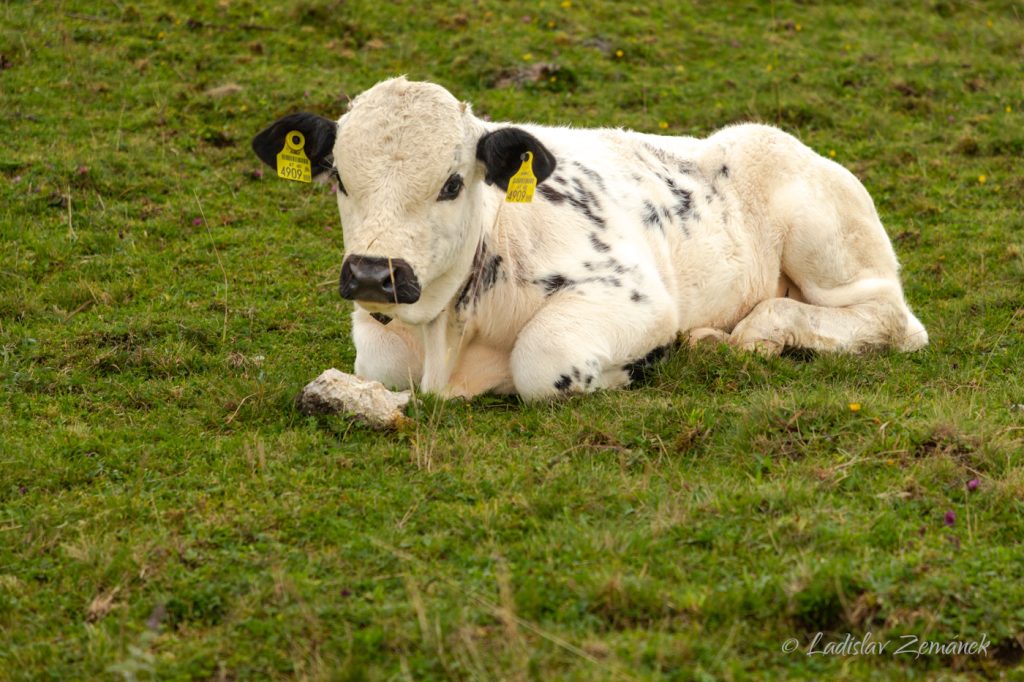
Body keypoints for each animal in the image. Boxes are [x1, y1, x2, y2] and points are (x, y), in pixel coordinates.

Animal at [249, 76, 929, 399]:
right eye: (339, 177)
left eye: (451, 182)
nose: (372, 273)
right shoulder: (382, 349)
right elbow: (381, 365)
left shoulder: (636, 295)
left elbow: (542, 360)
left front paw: (639, 367)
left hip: (827, 240)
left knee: (891, 320)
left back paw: (755, 333)